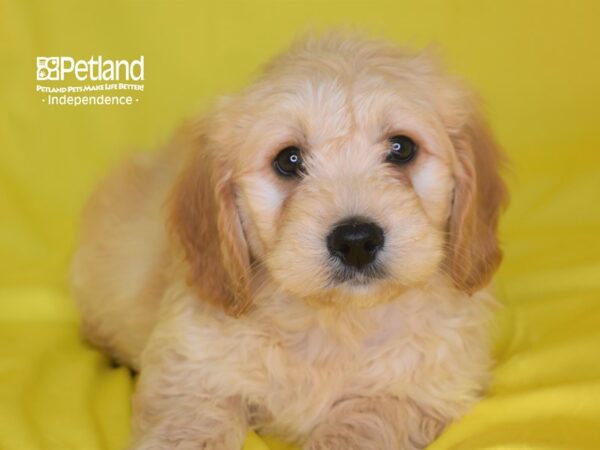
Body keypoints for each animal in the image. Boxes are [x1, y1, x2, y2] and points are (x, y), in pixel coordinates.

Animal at [72, 33, 508, 448]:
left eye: (402, 147)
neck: (335, 323)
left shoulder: (422, 391)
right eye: (289, 160)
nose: (355, 241)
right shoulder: (190, 372)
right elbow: (189, 425)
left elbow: (366, 420)